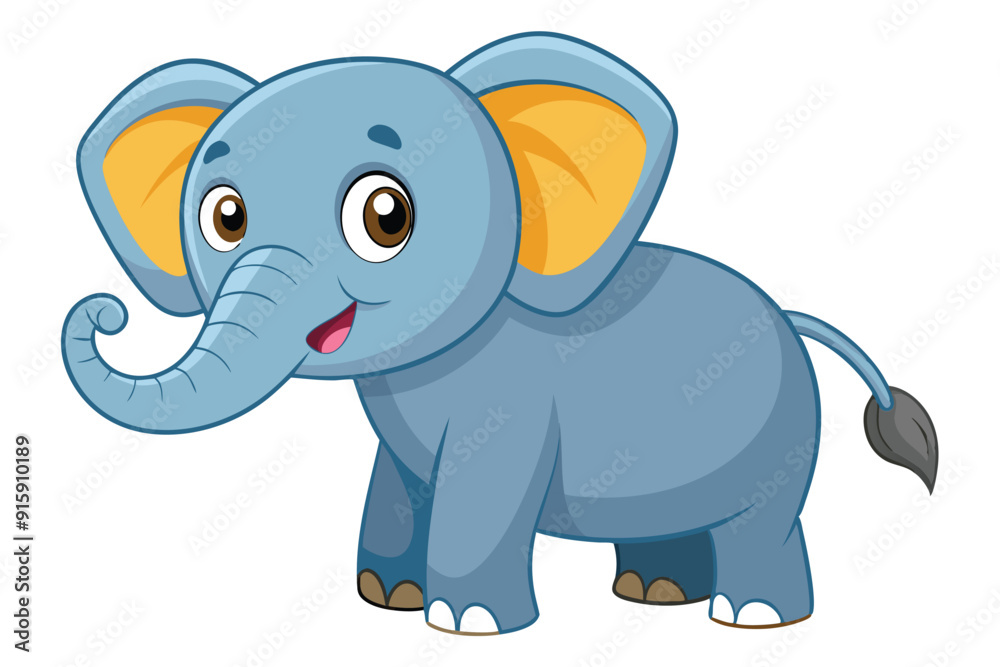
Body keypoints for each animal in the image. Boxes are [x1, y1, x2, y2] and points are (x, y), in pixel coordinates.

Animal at [62, 32, 938, 635]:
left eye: (386, 216)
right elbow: (399, 480)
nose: (105, 309)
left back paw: (751, 615)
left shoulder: (510, 407)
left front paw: (466, 624)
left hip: (784, 437)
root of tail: (792, 316)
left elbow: (482, 491)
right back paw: (653, 593)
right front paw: (387, 598)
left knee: (763, 520)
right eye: (224, 216)